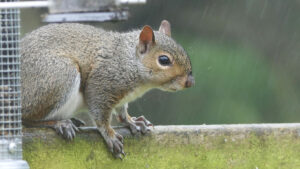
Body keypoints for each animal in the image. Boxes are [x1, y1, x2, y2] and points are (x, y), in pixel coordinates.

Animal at [21, 20, 195, 158]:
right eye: (164, 60)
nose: (190, 82)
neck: (129, 61)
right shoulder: (101, 83)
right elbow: (100, 114)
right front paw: (110, 135)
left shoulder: (122, 98)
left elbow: (122, 112)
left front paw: (132, 121)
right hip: (60, 76)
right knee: (27, 120)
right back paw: (60, 123)